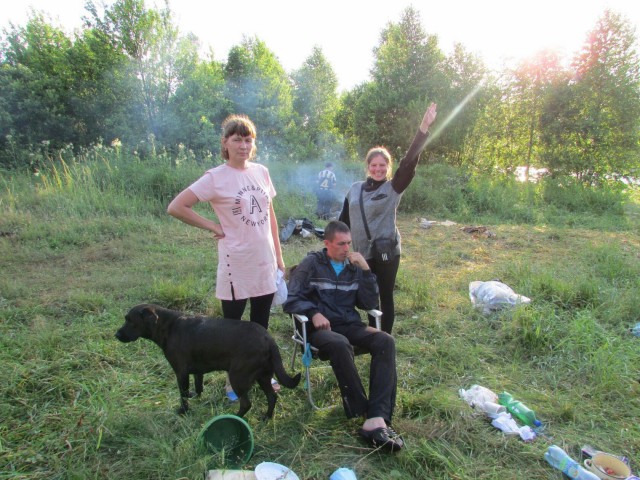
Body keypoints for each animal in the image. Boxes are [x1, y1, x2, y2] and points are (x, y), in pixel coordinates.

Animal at [116, 306, 302, 418]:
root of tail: (268, 339)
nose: (116, 335)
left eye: (130, 320)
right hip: (263, 376)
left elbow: (183, 394)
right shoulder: (197, 371)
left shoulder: (181, 372)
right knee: (272, 397)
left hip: (238, 376)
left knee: (246, 403)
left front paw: (183, 411)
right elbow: (198, 387)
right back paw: (266, 417)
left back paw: (236, 417)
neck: (168, 327)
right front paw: (197, 398)